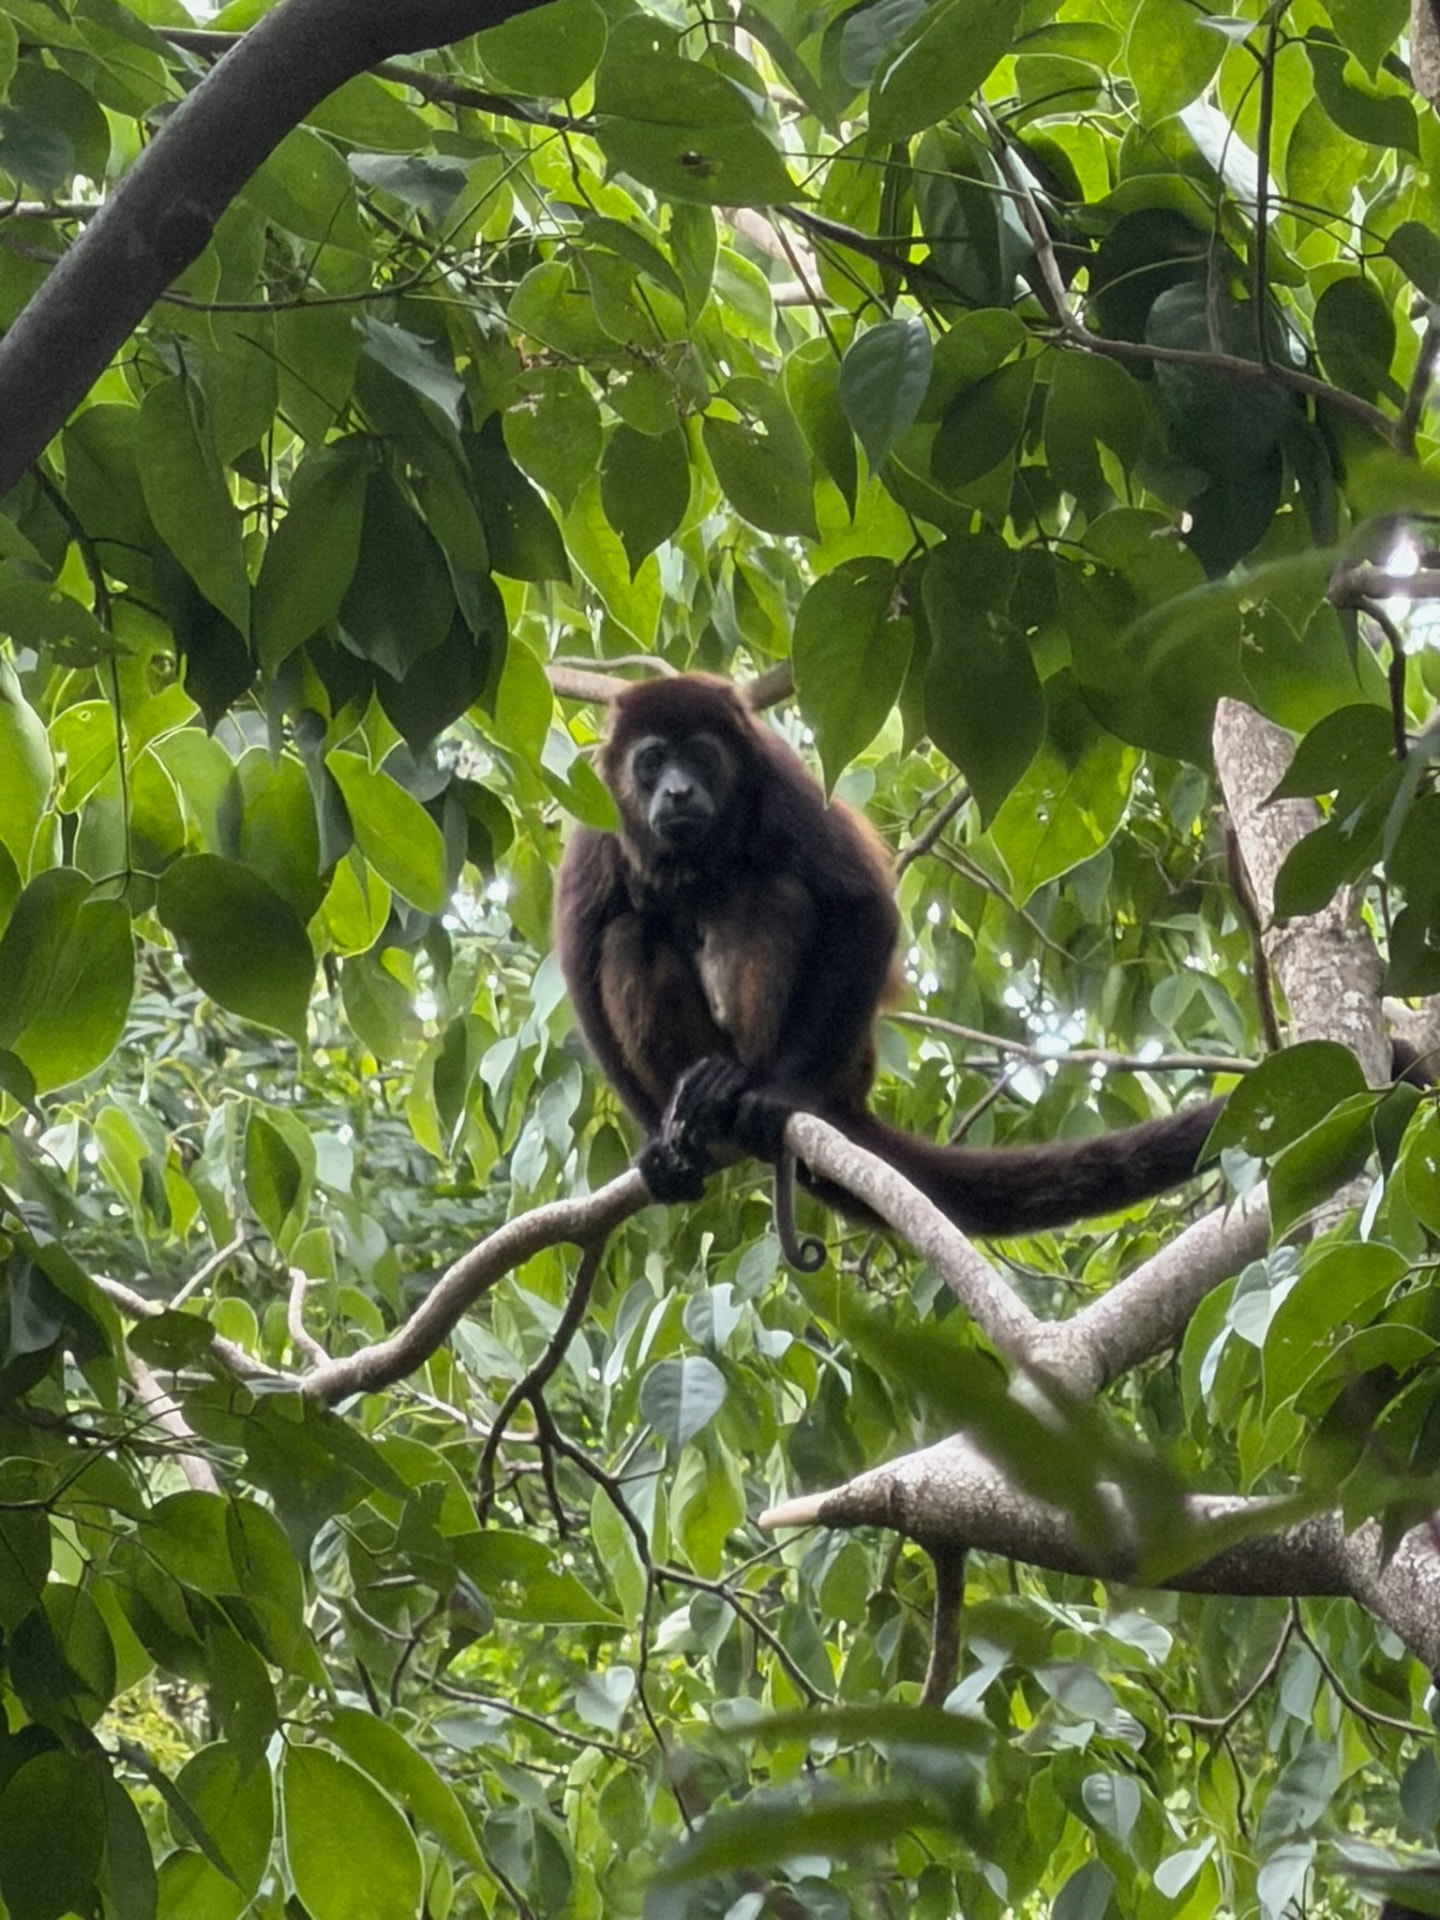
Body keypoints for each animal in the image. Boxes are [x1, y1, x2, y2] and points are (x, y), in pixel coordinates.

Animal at [554, 673, 1223, 1242]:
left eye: (698, 755)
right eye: (650, 762)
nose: (677, 790)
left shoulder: (779, 778)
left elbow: (861, 908)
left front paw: (779, 1093)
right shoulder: (594, 821)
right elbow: (581, 963)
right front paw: (654, 1145)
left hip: (844, 1060)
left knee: (768, 893)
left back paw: (738, 1082)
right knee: (629, 935)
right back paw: (695, 1102)